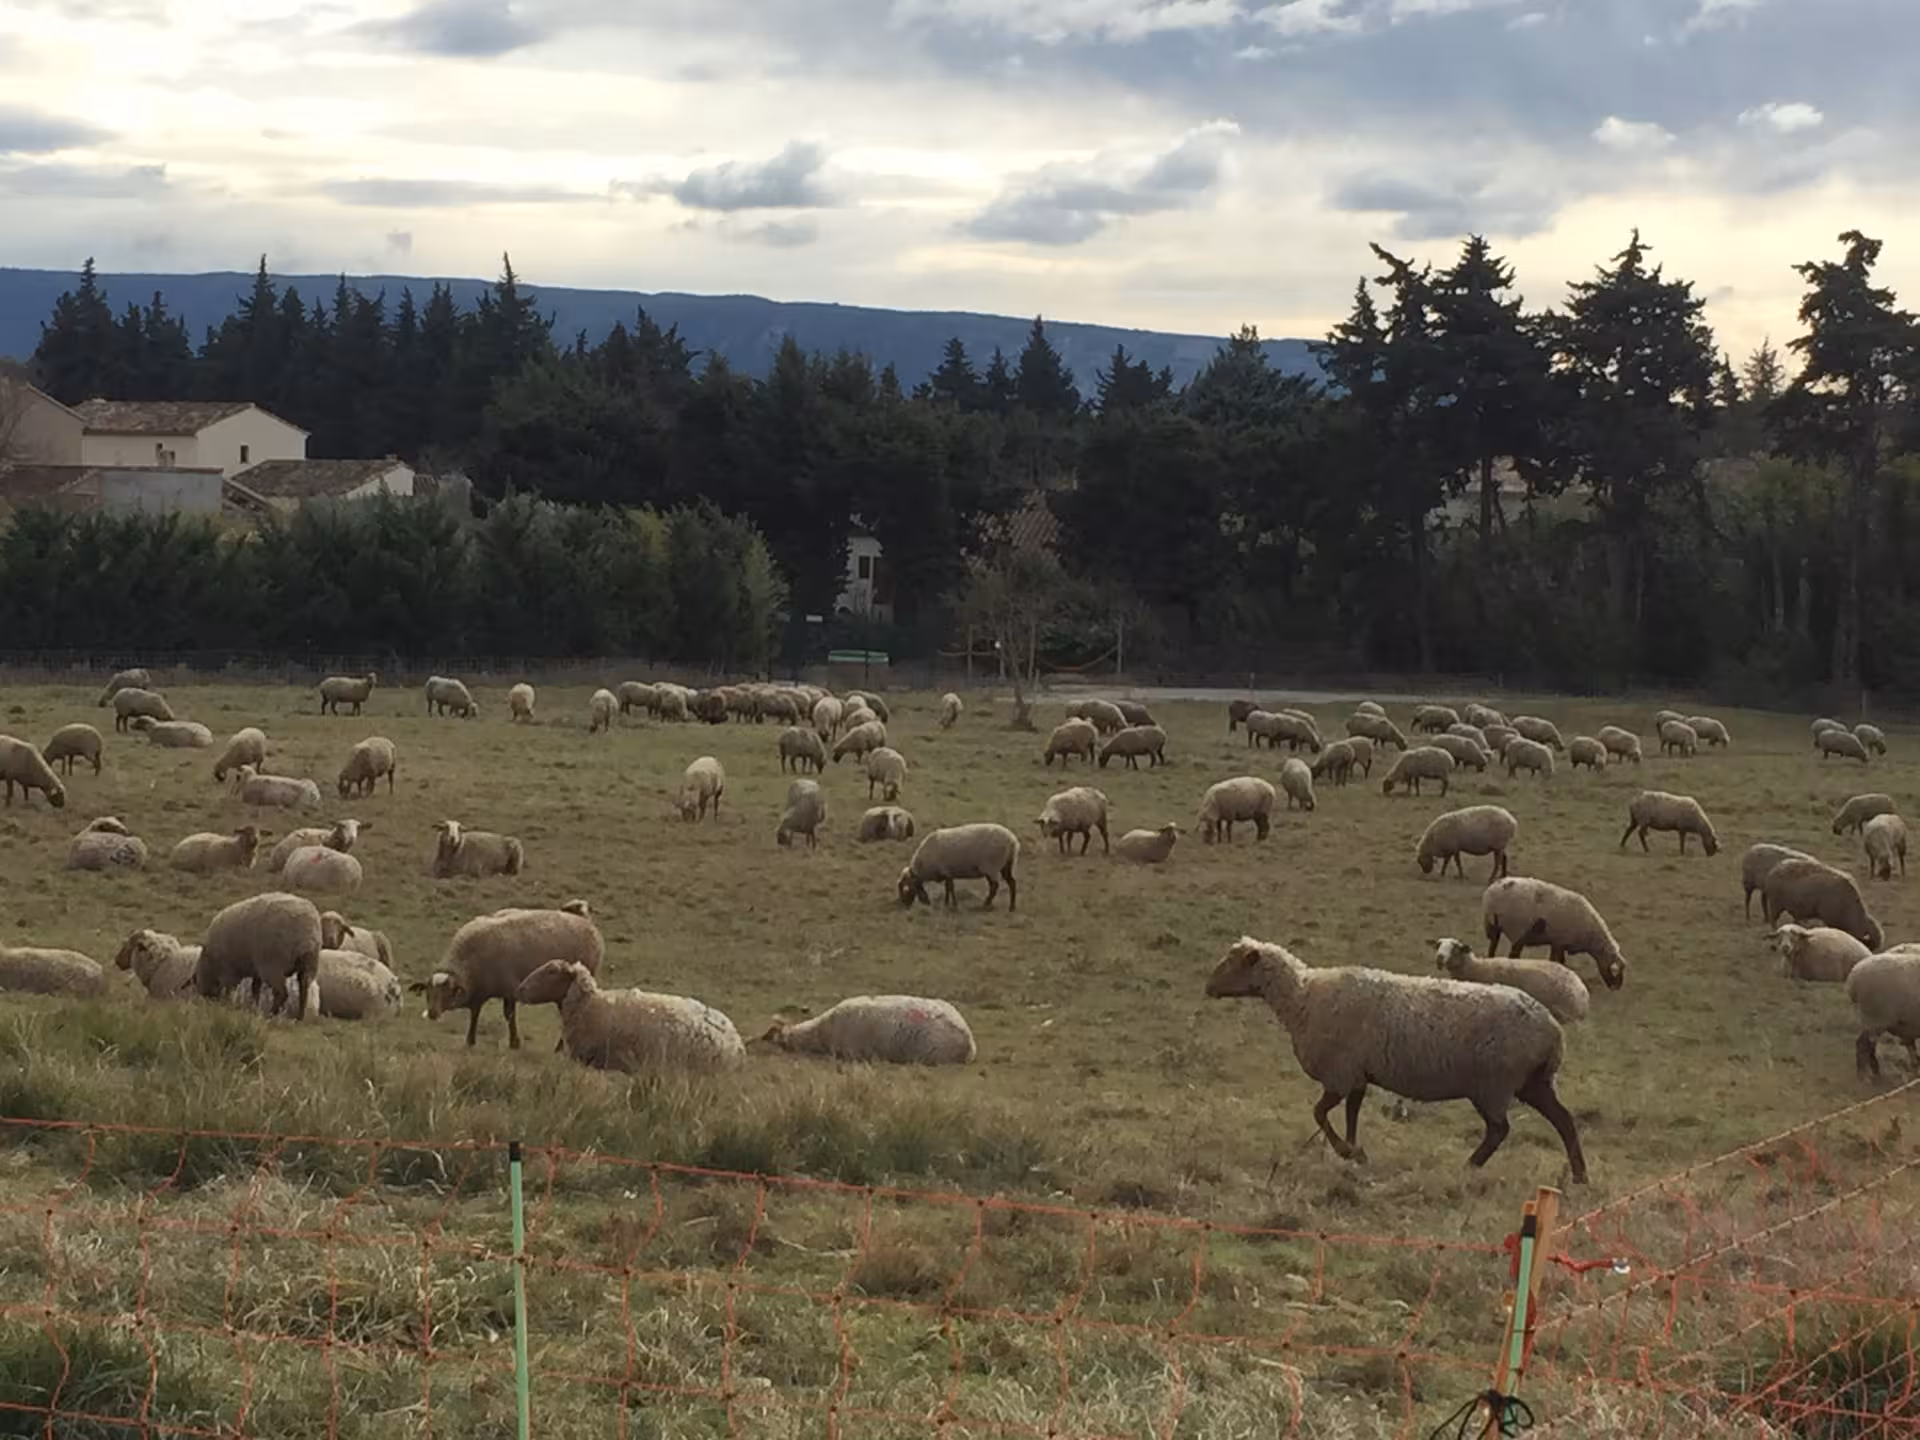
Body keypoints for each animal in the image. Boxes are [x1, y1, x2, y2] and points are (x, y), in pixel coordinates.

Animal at [195, 891, 323, 1020]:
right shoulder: (256, 970)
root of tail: (306, 934)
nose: (207, 1001)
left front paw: (227, 1007)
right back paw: (299, 1017)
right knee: (304, 989)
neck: (210, 960)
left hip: (273, 965)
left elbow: (229, 991)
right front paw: (254, 1008)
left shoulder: (228, 971)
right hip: (309, 964)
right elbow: (255, 989)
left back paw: (270, 1015)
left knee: (282, 993)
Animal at [413, 901, 604, 1048]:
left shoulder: (510, 989)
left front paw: (514, 1043)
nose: (432, 1013)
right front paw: (470, 1041)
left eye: (447, 991)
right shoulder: (479, 991)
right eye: (428, 991)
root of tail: (583, 919)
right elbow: (475, 1014)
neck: (468, 960)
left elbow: (509, 1016)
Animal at [1483, 877, 1627, 990]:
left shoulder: (1558, 943)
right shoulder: (1559, 942)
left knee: (1492, 947)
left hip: (1494, 927)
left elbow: (1560, 961)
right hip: (1516, 931)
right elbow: (1556, 961)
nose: (1616, 987)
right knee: (1513, 955)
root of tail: (1493, 892)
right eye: (1615, 970)